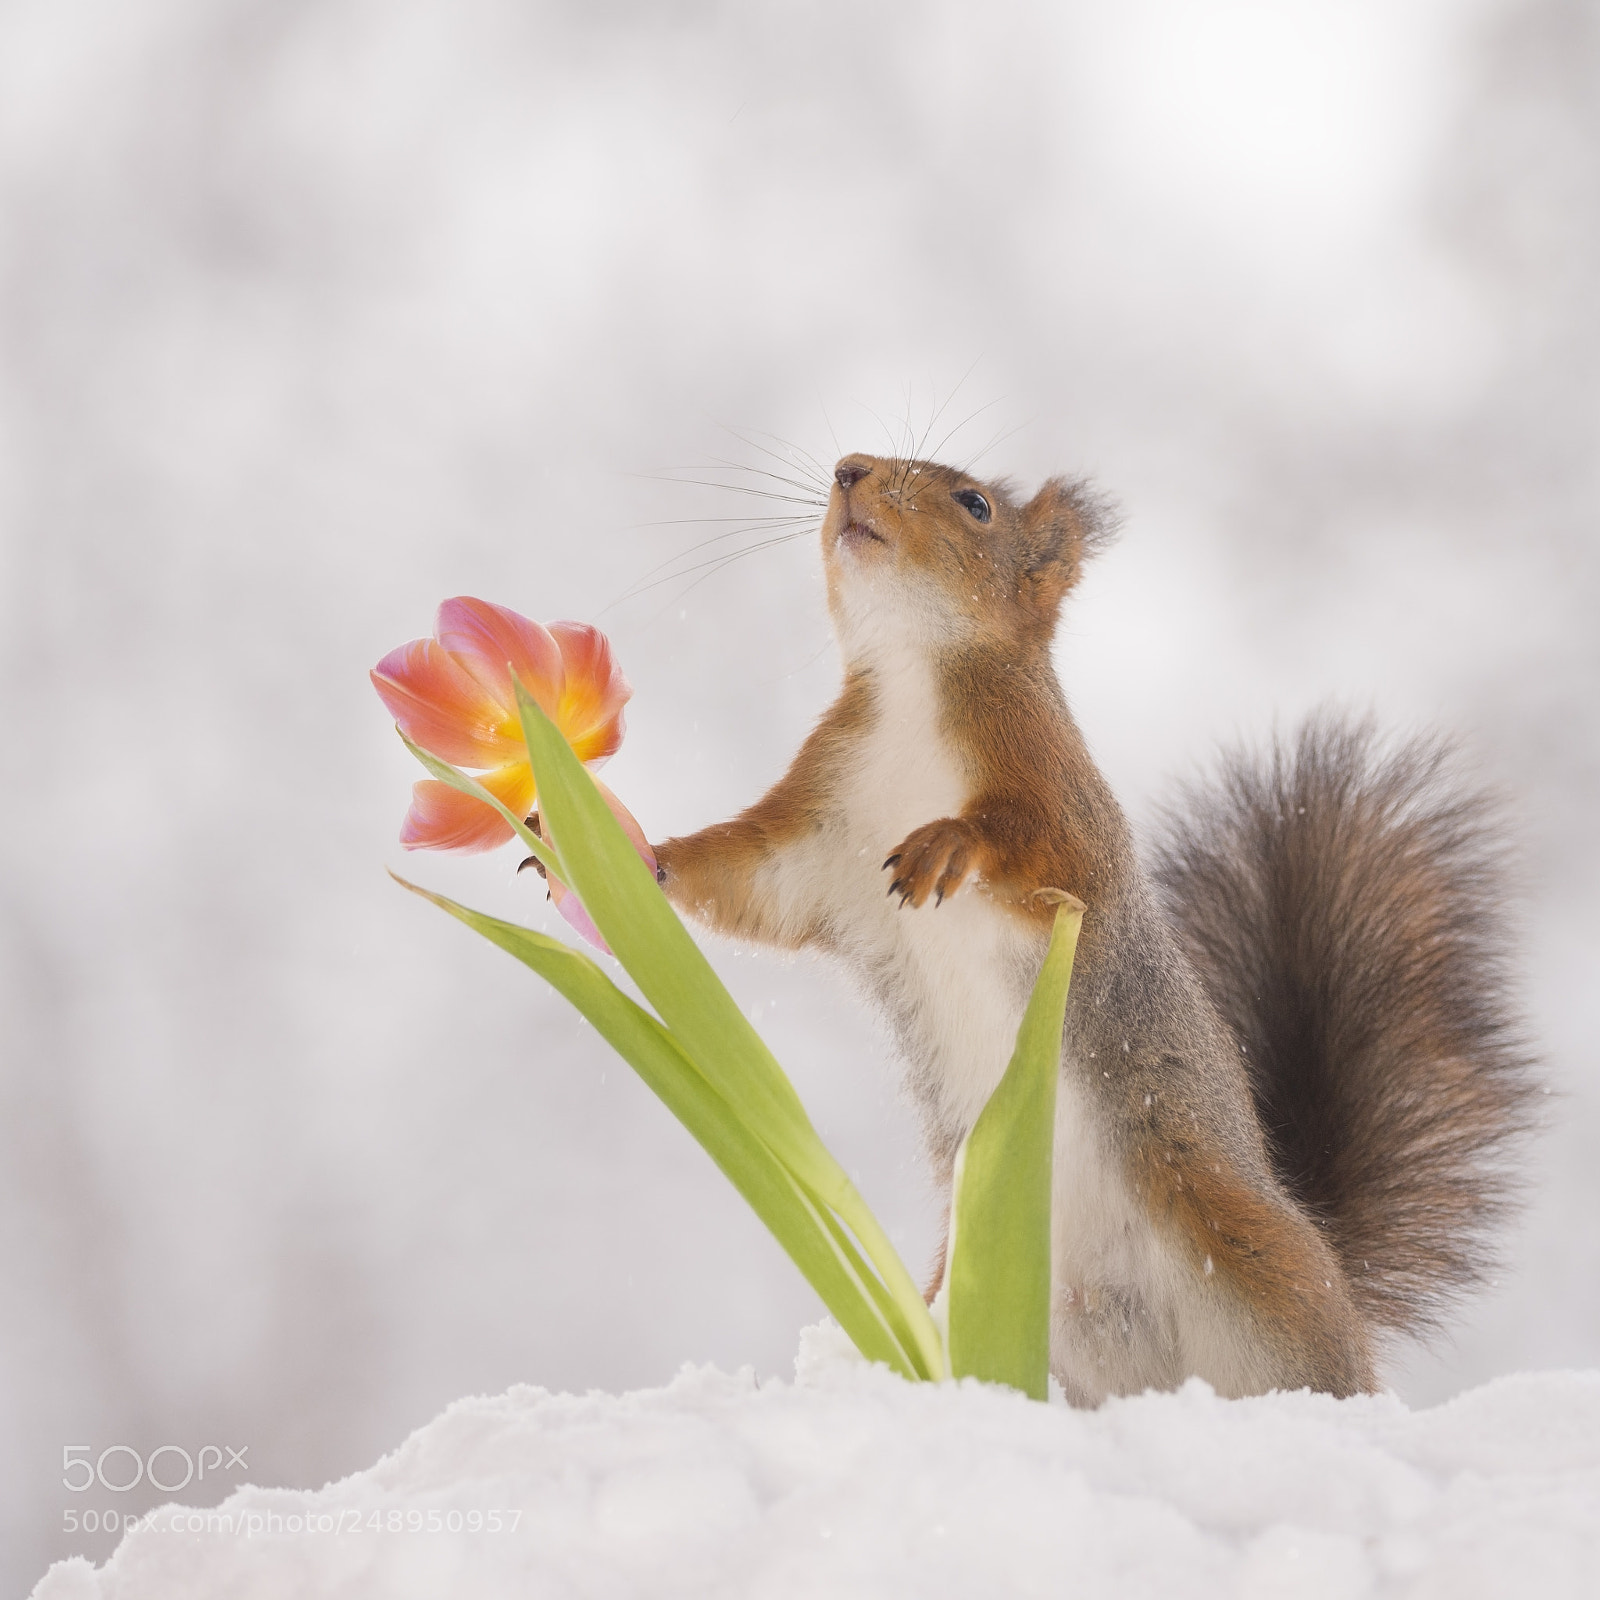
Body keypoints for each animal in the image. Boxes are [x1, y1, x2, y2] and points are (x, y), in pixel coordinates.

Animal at [650, 453, 1537, 1404]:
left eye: (975, 504)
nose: (849, 470)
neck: (913, 673)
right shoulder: (821, 831)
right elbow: (750, 880)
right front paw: (635, 853)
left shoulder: (1057, 789)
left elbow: (1046, 850)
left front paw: (949, 842)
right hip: (978, 1302)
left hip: (1257, 1271)